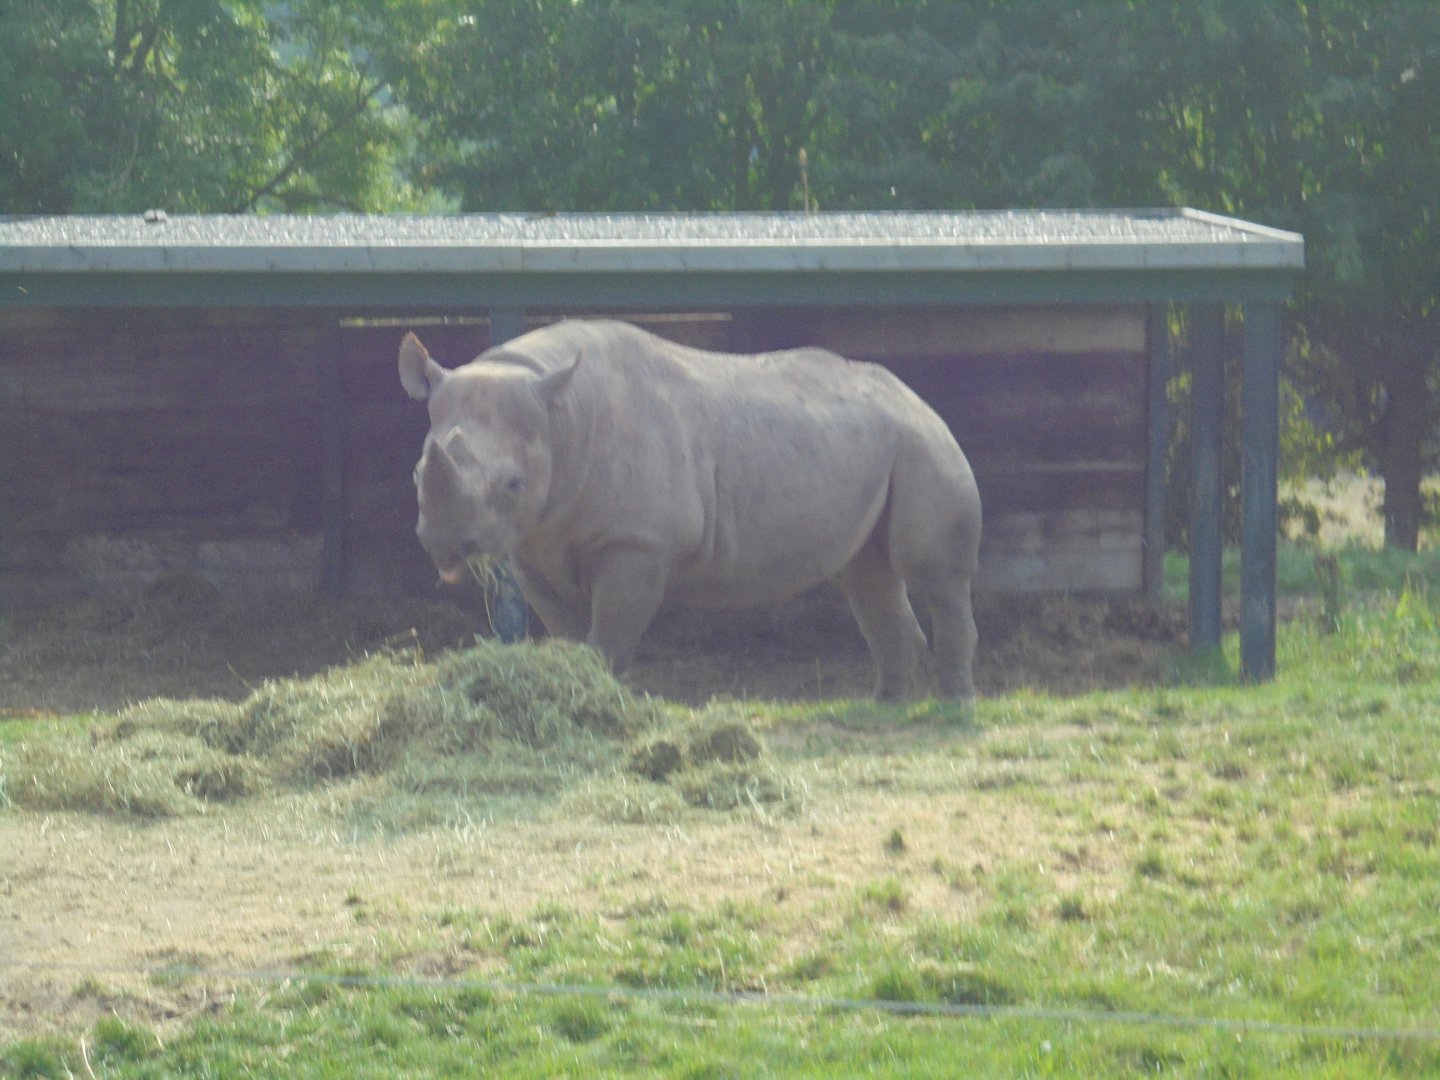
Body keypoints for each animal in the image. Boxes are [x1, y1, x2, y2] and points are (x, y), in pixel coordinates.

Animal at [399, 319, 981, 700]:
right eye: (416, 475)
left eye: (514, 483)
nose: (447, 546)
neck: (559, 416)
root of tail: (916, 397)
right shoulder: (534, 544)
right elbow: (567, 631)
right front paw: (574, 688)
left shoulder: (637, 542)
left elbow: (609, 636)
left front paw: (600, 698)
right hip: (879, 444)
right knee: (867, 577)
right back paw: (886, 707)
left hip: (925, 445)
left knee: (930, 573)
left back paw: (952, 708)